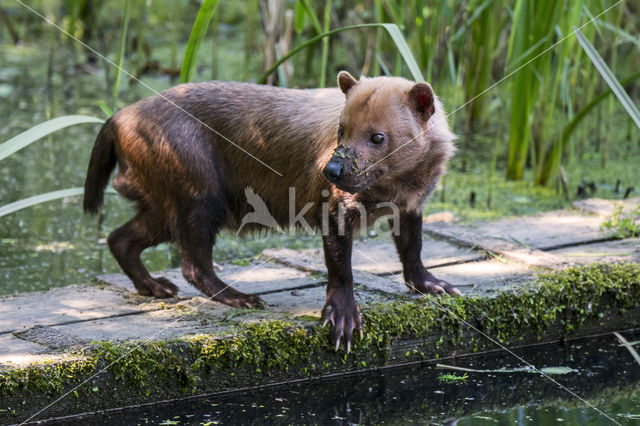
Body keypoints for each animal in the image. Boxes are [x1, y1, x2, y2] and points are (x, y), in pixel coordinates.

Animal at [84, 72, 456, 350]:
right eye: (341, 129)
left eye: (378, 136)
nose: (332, 170)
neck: (397, 187)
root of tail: (117, 118)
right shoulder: (335, 207)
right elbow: (340, 267)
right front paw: (343, 320)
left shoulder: (411, 205)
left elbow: (412, 248)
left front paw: (435, 285)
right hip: (199, 193)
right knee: (193, 265)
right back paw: (241, 298)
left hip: (164, 203)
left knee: (120, 238)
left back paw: (155, 286)